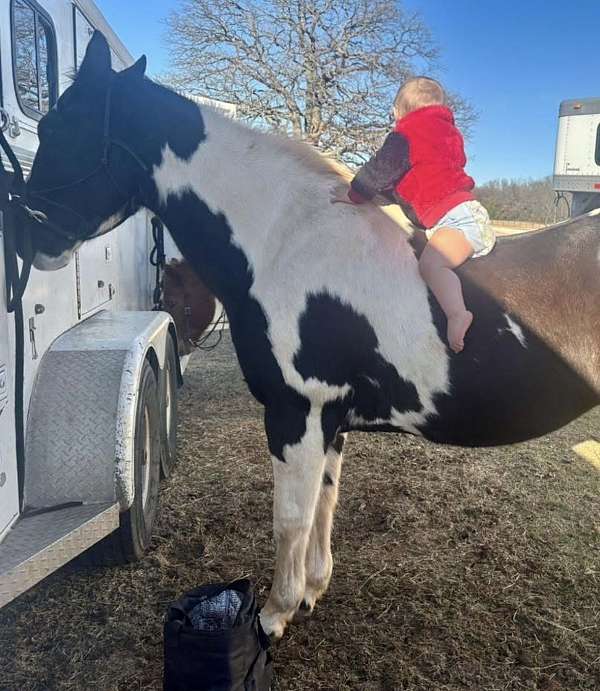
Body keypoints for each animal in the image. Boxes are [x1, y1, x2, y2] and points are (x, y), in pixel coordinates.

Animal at [21, 32, 600, 638]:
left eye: (60, 126)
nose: (29, 235)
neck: (287, 243)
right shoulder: (330, 420)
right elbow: (325, 502)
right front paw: (312, 590)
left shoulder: (296, 412)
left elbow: (290, 519)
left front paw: (276, 611)